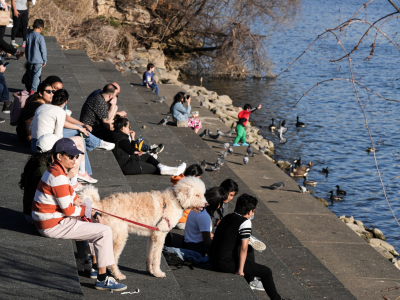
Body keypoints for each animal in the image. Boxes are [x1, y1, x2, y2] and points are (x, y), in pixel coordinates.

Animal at [79, 177, 208, 280]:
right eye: (197, 195)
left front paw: (150, 271)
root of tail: (102, 205)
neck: (175, 200)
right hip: (119, 237)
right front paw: (158, 273)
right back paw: (117, 275)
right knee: (112, 258)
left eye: (202, 194)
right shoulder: (160, 236)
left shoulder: (152, 236)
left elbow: (150, 255)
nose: (206, 204)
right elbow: (157, 257)